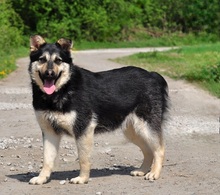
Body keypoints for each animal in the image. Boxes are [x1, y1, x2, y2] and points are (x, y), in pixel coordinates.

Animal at [27, 35, 168, 184]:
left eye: (58, 60)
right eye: (42, 59)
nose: (49, 74)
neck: (63, 90)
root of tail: (152, 75)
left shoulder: (83, 130)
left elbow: (83, 159)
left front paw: (82, 178)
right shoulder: (49, 132)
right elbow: (47, 159)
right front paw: (42, 178)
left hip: (145, 127)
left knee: (159, 150)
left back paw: (154, 173)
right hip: (133, 131)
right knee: (148, 151)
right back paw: (142, 170)